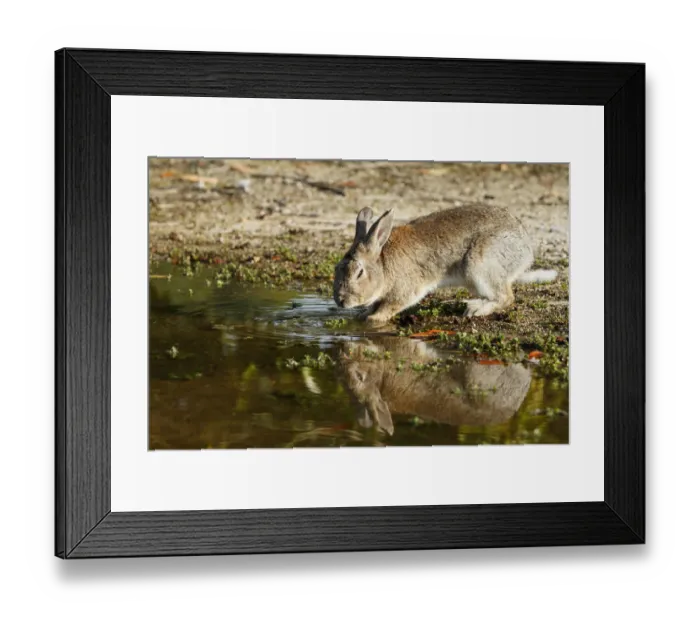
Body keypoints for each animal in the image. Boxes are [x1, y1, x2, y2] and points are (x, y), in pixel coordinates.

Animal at [333, 204, 557, 325]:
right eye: (337, 268)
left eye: (359, 272)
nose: (340, 302)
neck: (383, 264)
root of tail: (526, 252)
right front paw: (364, 314)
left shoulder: (405, 290)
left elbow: (391, 305)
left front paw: (373, 319)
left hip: (479, 265)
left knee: (507, 297)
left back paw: (476, 310)